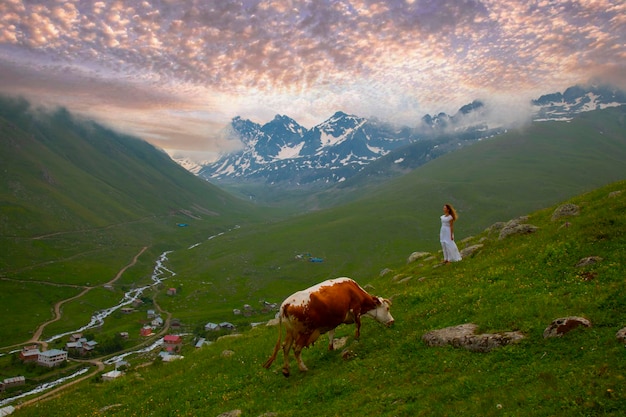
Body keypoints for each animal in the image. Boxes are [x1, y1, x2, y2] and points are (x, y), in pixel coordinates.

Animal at [260, 278, 392, 376]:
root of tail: (285, 304)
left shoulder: (332, 321)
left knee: (285, 347)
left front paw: (330, 348)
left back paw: (286, 370)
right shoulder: (356, 309)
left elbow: (331, 334)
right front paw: (357, 338)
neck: (353, 289)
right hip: (305, 331)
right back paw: (303, 368)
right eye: (387, 308)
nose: (392, 321)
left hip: (291, 332)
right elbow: (358, 325)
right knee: (296, 349)